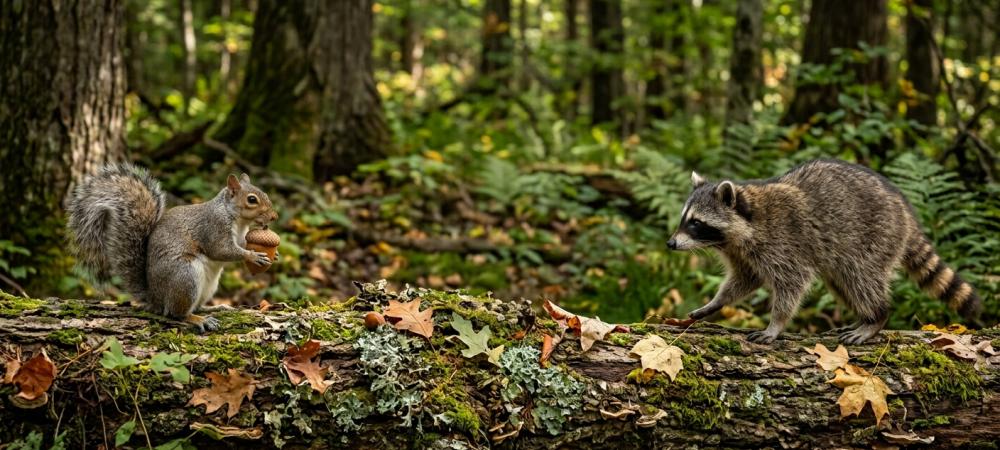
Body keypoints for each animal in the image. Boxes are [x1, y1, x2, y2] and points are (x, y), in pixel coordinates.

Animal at [66, 164, 278, 332]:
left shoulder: (241, 236)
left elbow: (239, 246)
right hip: (185, 276)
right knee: (176, 313)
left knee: (196, 306)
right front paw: (252, 256)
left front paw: (273, 256)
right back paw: (198, 319)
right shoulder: (213, 227)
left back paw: (216, 307)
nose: (274, 217)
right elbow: (222, 250)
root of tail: (156, 298)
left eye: (266, 194)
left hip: (208, 286)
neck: (237, 219)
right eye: (252, 200)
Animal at [667, 159, 982, 344]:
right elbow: (744, 280)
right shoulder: (743, 253)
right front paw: (717, 302)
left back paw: (877, 317)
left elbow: (792, 284)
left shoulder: (784, 242)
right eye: (684, 219)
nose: (670, 244)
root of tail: (905, 211)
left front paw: (776, 323)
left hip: (875, 237)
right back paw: (866, 317)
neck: (747, 222)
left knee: (861, 278)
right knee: (843, 283)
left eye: (696, 223)